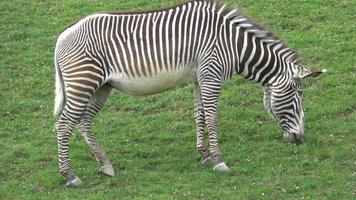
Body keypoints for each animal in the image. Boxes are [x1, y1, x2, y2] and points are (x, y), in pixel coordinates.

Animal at [53, 0, 326, 187]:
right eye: (299, 93)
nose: (300, 138)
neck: (234, 45)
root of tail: (62, 36)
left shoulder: (200, 78)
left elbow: (199, 115)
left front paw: (204, 155)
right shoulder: (212, 75)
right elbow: (213, 118)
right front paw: (219, 161)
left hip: (102, 86)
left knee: (84, 122)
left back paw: (105, 165)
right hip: (83, 82)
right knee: (65, 124)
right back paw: (70, 175)